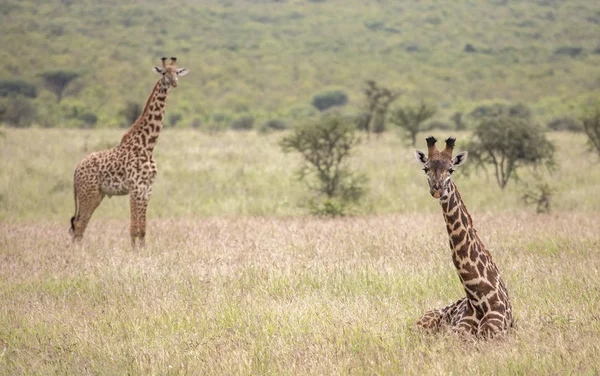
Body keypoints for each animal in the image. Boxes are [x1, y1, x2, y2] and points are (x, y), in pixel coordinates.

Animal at [69, 55, 189, 244]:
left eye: (177, 72)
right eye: (164, 72)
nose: (174, 83)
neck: (148, 145)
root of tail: (76, 170)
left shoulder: (147, 189)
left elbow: (142, 229)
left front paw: (143, 250)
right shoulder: (135, 188)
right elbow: (134, 228)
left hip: (97, 195)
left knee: (78, 224)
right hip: (88, 193)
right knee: (79, 225)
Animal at [414, 137, 512, 340]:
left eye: (451, 169)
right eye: (426, 168)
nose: (437, 189)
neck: (479, 298)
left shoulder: (494, 332)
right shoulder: (458, 332)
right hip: (421, 324)